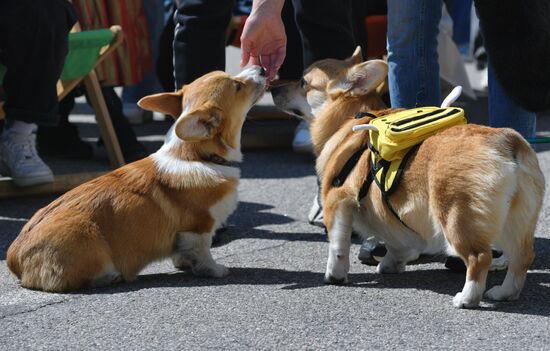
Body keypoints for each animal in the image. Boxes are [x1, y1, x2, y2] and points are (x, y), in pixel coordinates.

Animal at [7, 67, 268, 292]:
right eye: (237, 86)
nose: (263, 69)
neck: (197, 155)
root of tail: (14, 258)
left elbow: (184, 251)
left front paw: (184, 264)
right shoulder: (199, 225)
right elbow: (203, 252)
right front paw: (215, 270)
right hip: (86, 237)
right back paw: (110, 276)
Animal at [272, 48, 548, 310]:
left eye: (303, 82)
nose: (272, 87)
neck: (350, 119)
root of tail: (506, 142)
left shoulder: (337, 200)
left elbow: (337, 246)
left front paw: (335, 276)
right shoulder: (392, 216)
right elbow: (397, 242)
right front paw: (390, 264)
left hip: (457, 217)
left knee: (479, 258)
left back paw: (467, 298)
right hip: (516, 219)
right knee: (522, 257)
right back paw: (504, 292)